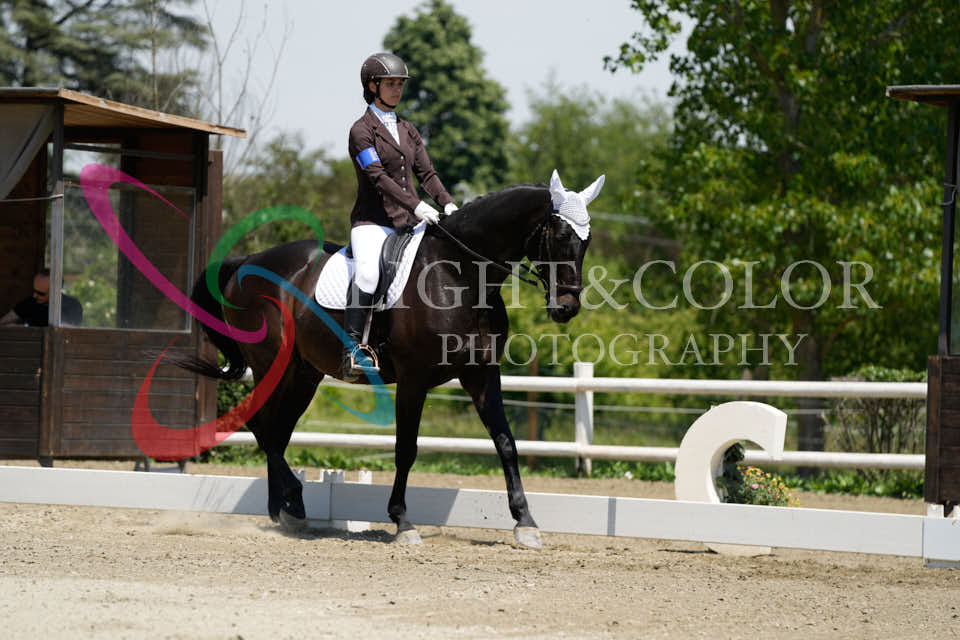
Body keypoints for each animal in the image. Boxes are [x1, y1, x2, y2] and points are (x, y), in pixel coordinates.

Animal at [179, 170, 604, 548]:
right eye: (561, 235)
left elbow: (506, 442)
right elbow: (406, 449)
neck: (461, 275)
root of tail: (250, 260)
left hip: (304, 374)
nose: (567, 308)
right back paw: (293, 502)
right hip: (273, 365)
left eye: (587, 241)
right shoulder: (414, 379)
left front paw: (526, 523)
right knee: (262, 425)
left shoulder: (482, 375)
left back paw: (285, 511)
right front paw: (402, 522)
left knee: (277, 431)